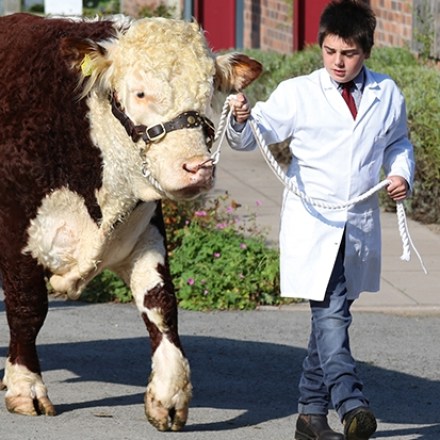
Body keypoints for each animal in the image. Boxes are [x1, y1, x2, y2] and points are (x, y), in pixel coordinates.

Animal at [0, 12, 262, 431]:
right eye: (139, 93)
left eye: (209, 93)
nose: (197, 168)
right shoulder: (15, 232)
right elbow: (28, 307)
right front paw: (26, 388)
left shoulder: (144, 231)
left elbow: (161, 303)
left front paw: (168, 396)